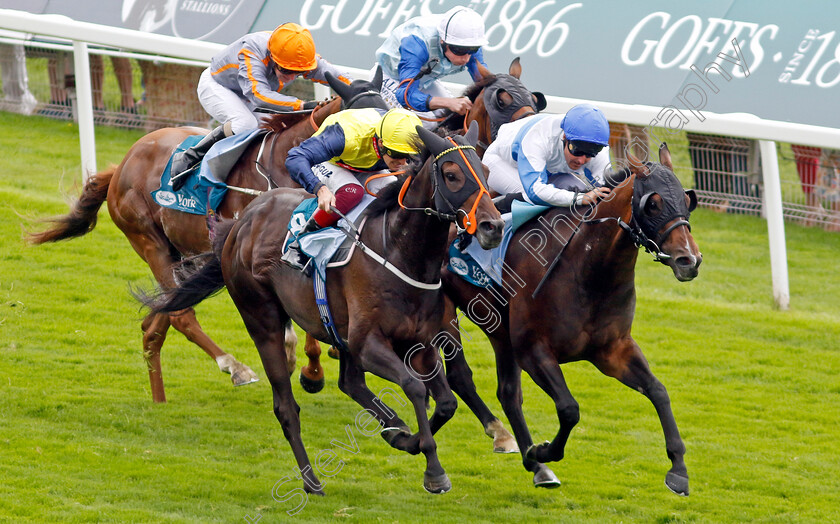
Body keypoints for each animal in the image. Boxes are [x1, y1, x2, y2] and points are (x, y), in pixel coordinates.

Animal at [27, 69, 390, 404]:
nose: (388, 177)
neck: (282, 165)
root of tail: (121, 166)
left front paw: (313, 368)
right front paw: (302, 364)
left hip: (183, 254)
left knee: (156, 322)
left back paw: (160, 400)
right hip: (148, 241)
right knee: (180, 315)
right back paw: (234, 367)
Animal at [139, 123, 506, 496]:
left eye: (485, 171)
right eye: (452, 175)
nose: (493, 227)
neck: (399, 251)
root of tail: (241, 223)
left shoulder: (421, 342)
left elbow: (446, 402)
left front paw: (409, 437)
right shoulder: (369, 344)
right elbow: (415, 387)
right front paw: (433, 468)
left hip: (338, 332)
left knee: (350, 383)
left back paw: (393, 430)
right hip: (262, 321)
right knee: (286, 407)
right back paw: (311, 480)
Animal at [440, 144, 704, 496]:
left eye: (688, 200)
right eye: (653, 203)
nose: (689, 260)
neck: (588, 270)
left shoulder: (612, 350)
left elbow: (658, 390)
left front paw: (678, 470)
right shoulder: (534, 350)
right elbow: (569, 409)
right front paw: (541, 450)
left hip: (501, 333)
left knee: (508, 393)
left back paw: (533, 464)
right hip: (444, 312)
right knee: (459, 375)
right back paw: (505, 438)